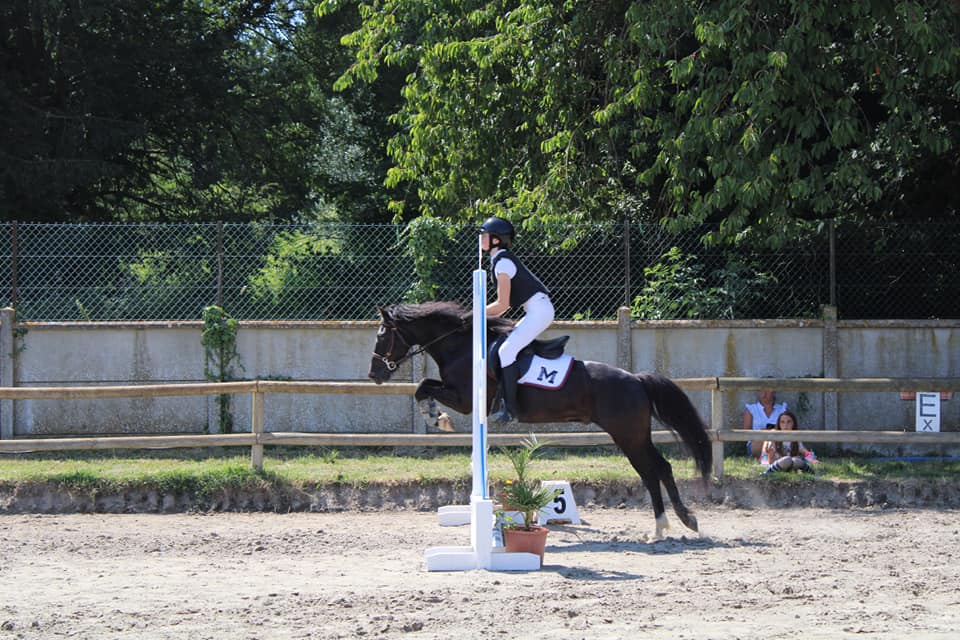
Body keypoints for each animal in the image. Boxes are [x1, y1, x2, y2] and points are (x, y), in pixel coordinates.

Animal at [368, 301, 712, 539]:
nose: (374, 375)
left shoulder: (466, 400)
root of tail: (636, 379)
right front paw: (434, 414)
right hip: (636, 435)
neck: (462, 346)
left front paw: (436, 417)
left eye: (382, 336)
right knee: (662, 468)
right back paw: (681, 521)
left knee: (651, 472)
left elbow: (423, 387)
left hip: (627, 435)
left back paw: (665, 525)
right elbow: (424, 385)